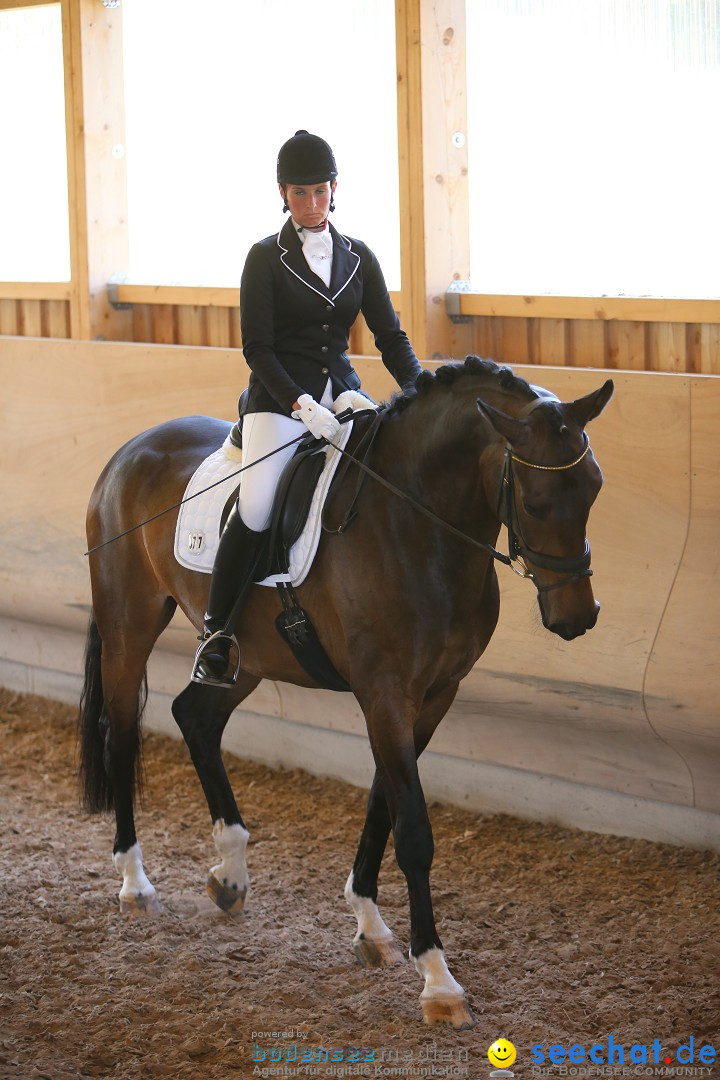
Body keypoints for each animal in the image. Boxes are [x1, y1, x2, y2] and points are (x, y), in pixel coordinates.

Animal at [77, 356, 613, 1028]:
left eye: (593, 489)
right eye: (537, 505)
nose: (578, 618)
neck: (417, 522)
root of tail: (130, 450)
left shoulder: (433, 696)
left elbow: (383, 803)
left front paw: (371, 927)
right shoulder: (384, 693)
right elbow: (413, 831)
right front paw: (437, 980)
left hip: (247, 656)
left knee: (194, 716)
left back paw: (230, 872)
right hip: (129, 626)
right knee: (122, 735)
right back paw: (134, 883)